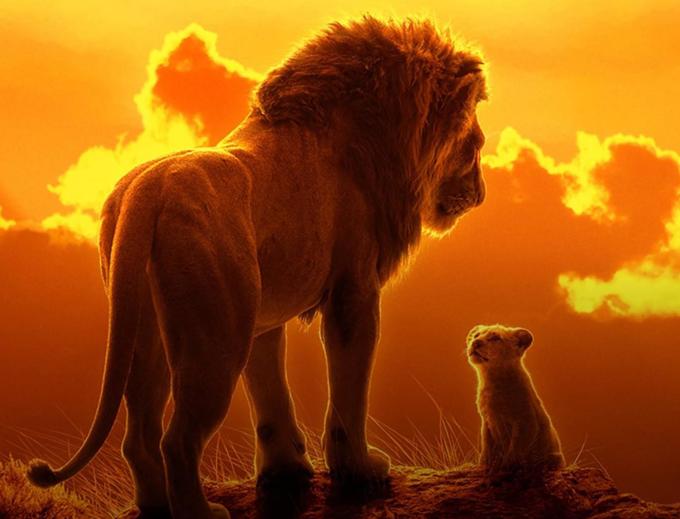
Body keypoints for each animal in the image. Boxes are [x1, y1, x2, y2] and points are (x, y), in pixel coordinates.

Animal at [28, 17, 488, 519]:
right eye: (476, 145)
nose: (482, 195)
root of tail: (146, 192)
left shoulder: (261, 317)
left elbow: (270, 395)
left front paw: (286, 470)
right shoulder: (354, 292)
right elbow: (349, 392)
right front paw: (360, 470)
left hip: (146, 330)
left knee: (140, 437)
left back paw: (156, 507)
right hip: (215, 339)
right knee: (177, 441)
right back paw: (204, 512)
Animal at [467, 325, 565, 474]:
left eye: (495, 338)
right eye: (476, 335)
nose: (476, 343)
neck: (491, 380)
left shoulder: (525, 421)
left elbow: (515, 449)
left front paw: (507, 468)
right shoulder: (487, 421)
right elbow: (487, 447)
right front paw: (484, 466)